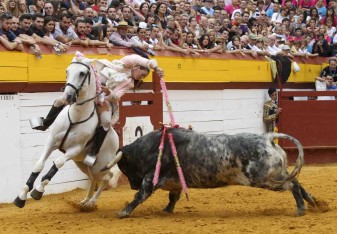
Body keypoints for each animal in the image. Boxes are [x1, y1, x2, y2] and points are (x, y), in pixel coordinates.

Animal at [15, 52, 122, 209]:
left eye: (82, 73)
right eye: (67, 71)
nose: (68, 96)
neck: (76, 116)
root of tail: (116, 139)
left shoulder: (74, 149)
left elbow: (58, 163)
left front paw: (38, 190)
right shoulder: (51, 141)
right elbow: (39, 164)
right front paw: (21, 196)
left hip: (100, 166)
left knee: (106, 178)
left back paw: (92, 202)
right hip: (83, 165)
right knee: (93, 179)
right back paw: (85, 201)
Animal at [106, 128, 316, 218]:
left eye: (125, 167)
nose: (132, 184)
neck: (151, 147)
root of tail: (267, 138)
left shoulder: (151, 179)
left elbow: (140, 196)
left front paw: (123, 212)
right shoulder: (175, 182)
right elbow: (173, 198)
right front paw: (167, 210)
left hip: (264, 178)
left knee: (292, 184)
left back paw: (301, 209)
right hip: (276, 174)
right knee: (297, 182)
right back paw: (314, 203)